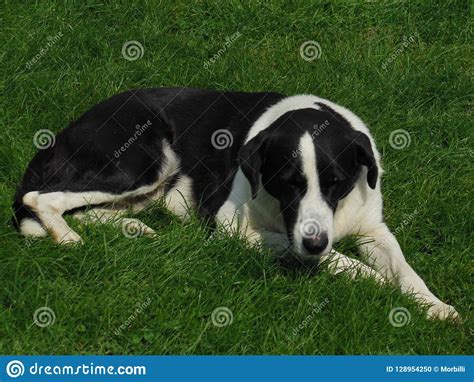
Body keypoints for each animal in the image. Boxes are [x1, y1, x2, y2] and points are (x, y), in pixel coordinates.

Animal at [12, 87, 460, 320]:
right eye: (289, 184)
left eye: (336, 183)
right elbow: (330, 257)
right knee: (41, 198)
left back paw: (131, 228)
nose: (315, 242)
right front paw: (370, 278)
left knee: (88, 210)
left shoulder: (372, 228)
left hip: (145, 185)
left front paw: (435, 306)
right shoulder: (231, 225)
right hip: (141, 159)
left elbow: (404, 268)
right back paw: (68, 239)